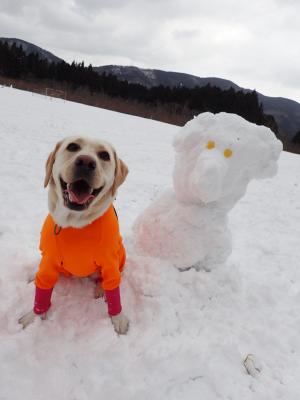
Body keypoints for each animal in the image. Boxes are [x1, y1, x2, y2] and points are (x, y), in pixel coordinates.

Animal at [18, 138, 129, 334]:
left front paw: (117, 317)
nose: (86, 162)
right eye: (72, 146)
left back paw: (100, 289)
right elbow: (42, 289)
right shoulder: (49, 260)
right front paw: (34, 316)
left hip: (120, 254)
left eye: (104, 155)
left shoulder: (110, 262)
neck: (76, 225)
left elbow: (113, 286)